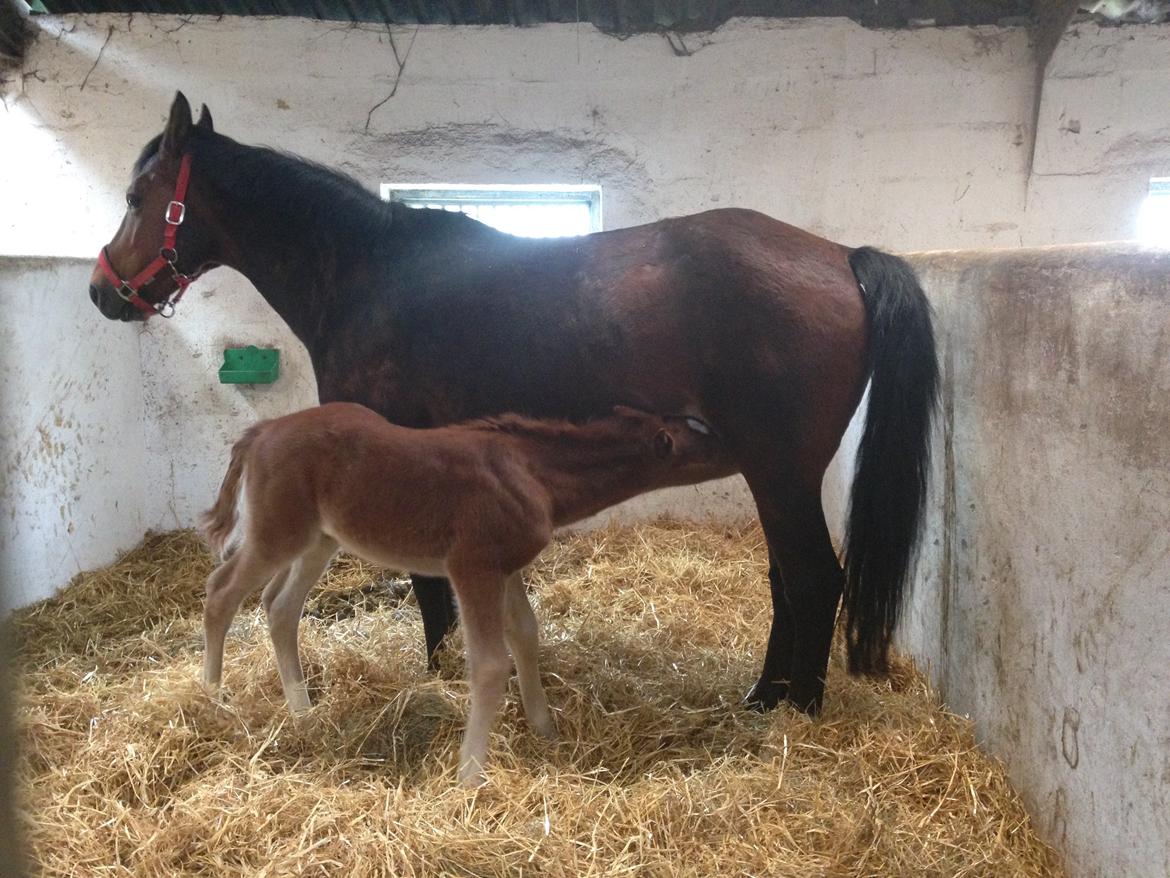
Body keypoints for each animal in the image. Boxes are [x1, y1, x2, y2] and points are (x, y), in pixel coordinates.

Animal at [88, 93, 940, 716]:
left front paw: (438, 672)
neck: (367, 275)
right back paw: (765, 696)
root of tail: (841, 257)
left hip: (780, 470)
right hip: (777, 474)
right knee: (787, 579)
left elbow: (427, 584)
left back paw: (799, 712)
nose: (101, 293)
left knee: (814, 578)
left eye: (137, 195)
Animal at [198, 402, 720, 786]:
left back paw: (304, 713)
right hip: (278, 534)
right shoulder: (473, 568)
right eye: (706, 440)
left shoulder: (506, 568)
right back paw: (211, 699)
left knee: (280, 606)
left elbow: (526, 635)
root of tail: (261, 431)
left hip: (320, 539)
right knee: (221, 593)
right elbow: (489, 664)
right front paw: (469, 774)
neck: (532, 472)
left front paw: (545, 730)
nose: (736, 441)